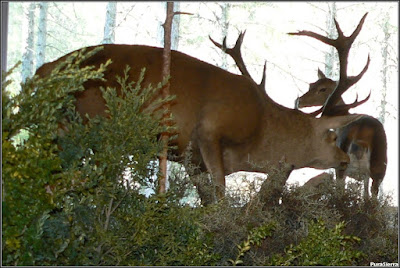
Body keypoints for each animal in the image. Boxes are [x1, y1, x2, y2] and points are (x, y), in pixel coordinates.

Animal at [36, 23, 364, 206]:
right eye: (331, 135)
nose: (345, 160)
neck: (259, 131)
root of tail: (42, 70)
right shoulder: (209, 130)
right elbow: (220, 198)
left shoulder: (190, 159)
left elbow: (206, 201)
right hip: (88, 123)